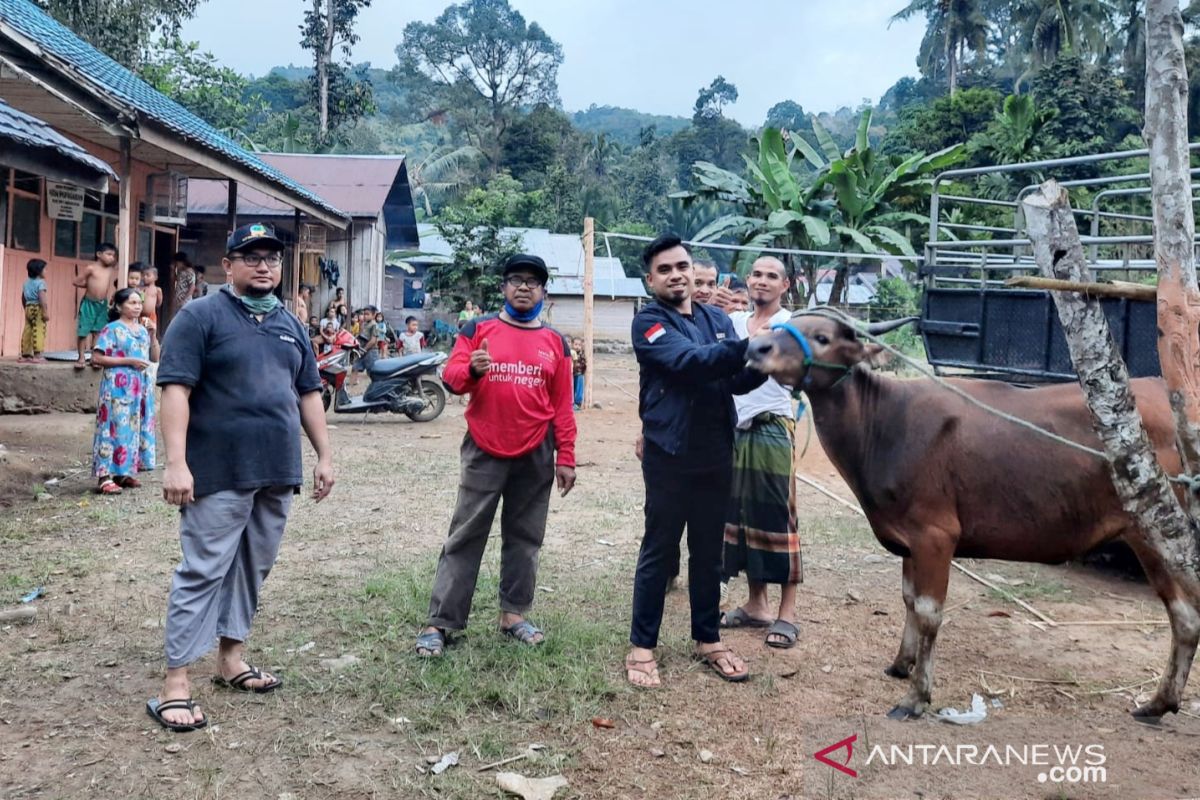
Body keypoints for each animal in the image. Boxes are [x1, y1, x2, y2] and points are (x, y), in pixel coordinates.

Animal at [744, 309, 1195, 724]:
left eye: (821, 336)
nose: (756, 348)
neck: (884, 421)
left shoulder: (935, 536)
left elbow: (929, 613)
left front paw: (916, 696)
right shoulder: (909, 542)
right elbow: (908, 600)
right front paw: (901, 663)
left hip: (1154, 533)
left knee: (1185, 614)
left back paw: (1159, 702)